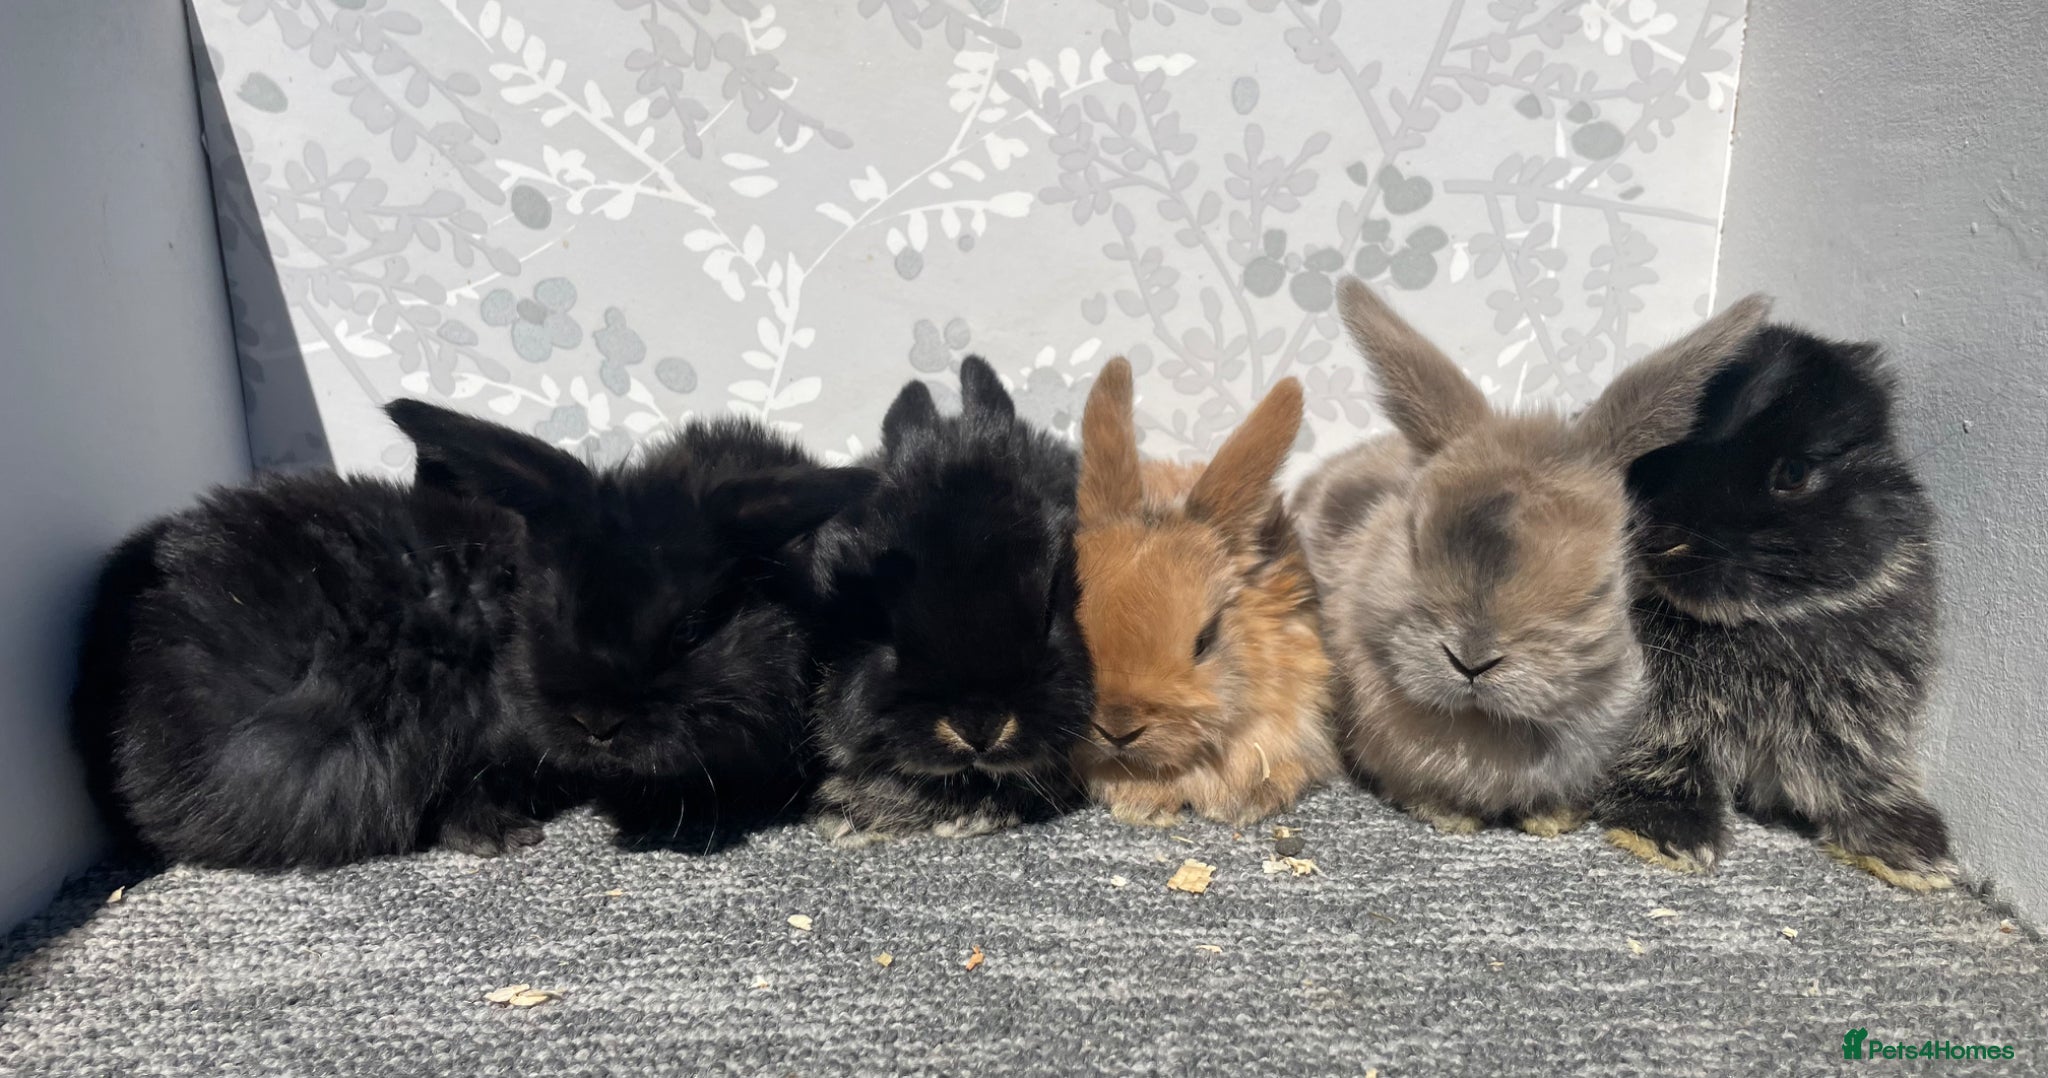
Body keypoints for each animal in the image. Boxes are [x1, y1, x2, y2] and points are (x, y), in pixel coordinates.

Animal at [1292, 278, 1770, 836]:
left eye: (1598, 589)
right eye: (1411, 543)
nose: (1472, 660)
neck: (1486, 727)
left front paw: (1553, 819)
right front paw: (1449, 816)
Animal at [1596, 326, 1957, 891]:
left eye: (1793, 472)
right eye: (1648, 456)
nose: (1660, 538)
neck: (1742, 626)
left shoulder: (1851, 713)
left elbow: (1856, 767)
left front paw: (1908, 845)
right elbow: (1659, 748)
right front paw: (1669, 830)